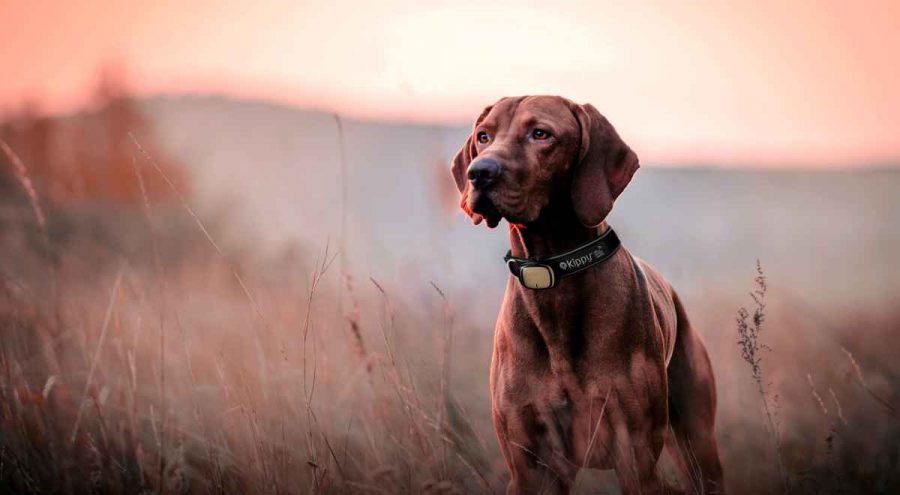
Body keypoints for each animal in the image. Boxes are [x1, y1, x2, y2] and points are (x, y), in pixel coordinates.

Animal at [450, 95, 724, 494]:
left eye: (540, 134)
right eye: (483, 136)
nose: (479, 172)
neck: (552, 278)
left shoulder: (635, 456)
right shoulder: (531, 466)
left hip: (697, 442)